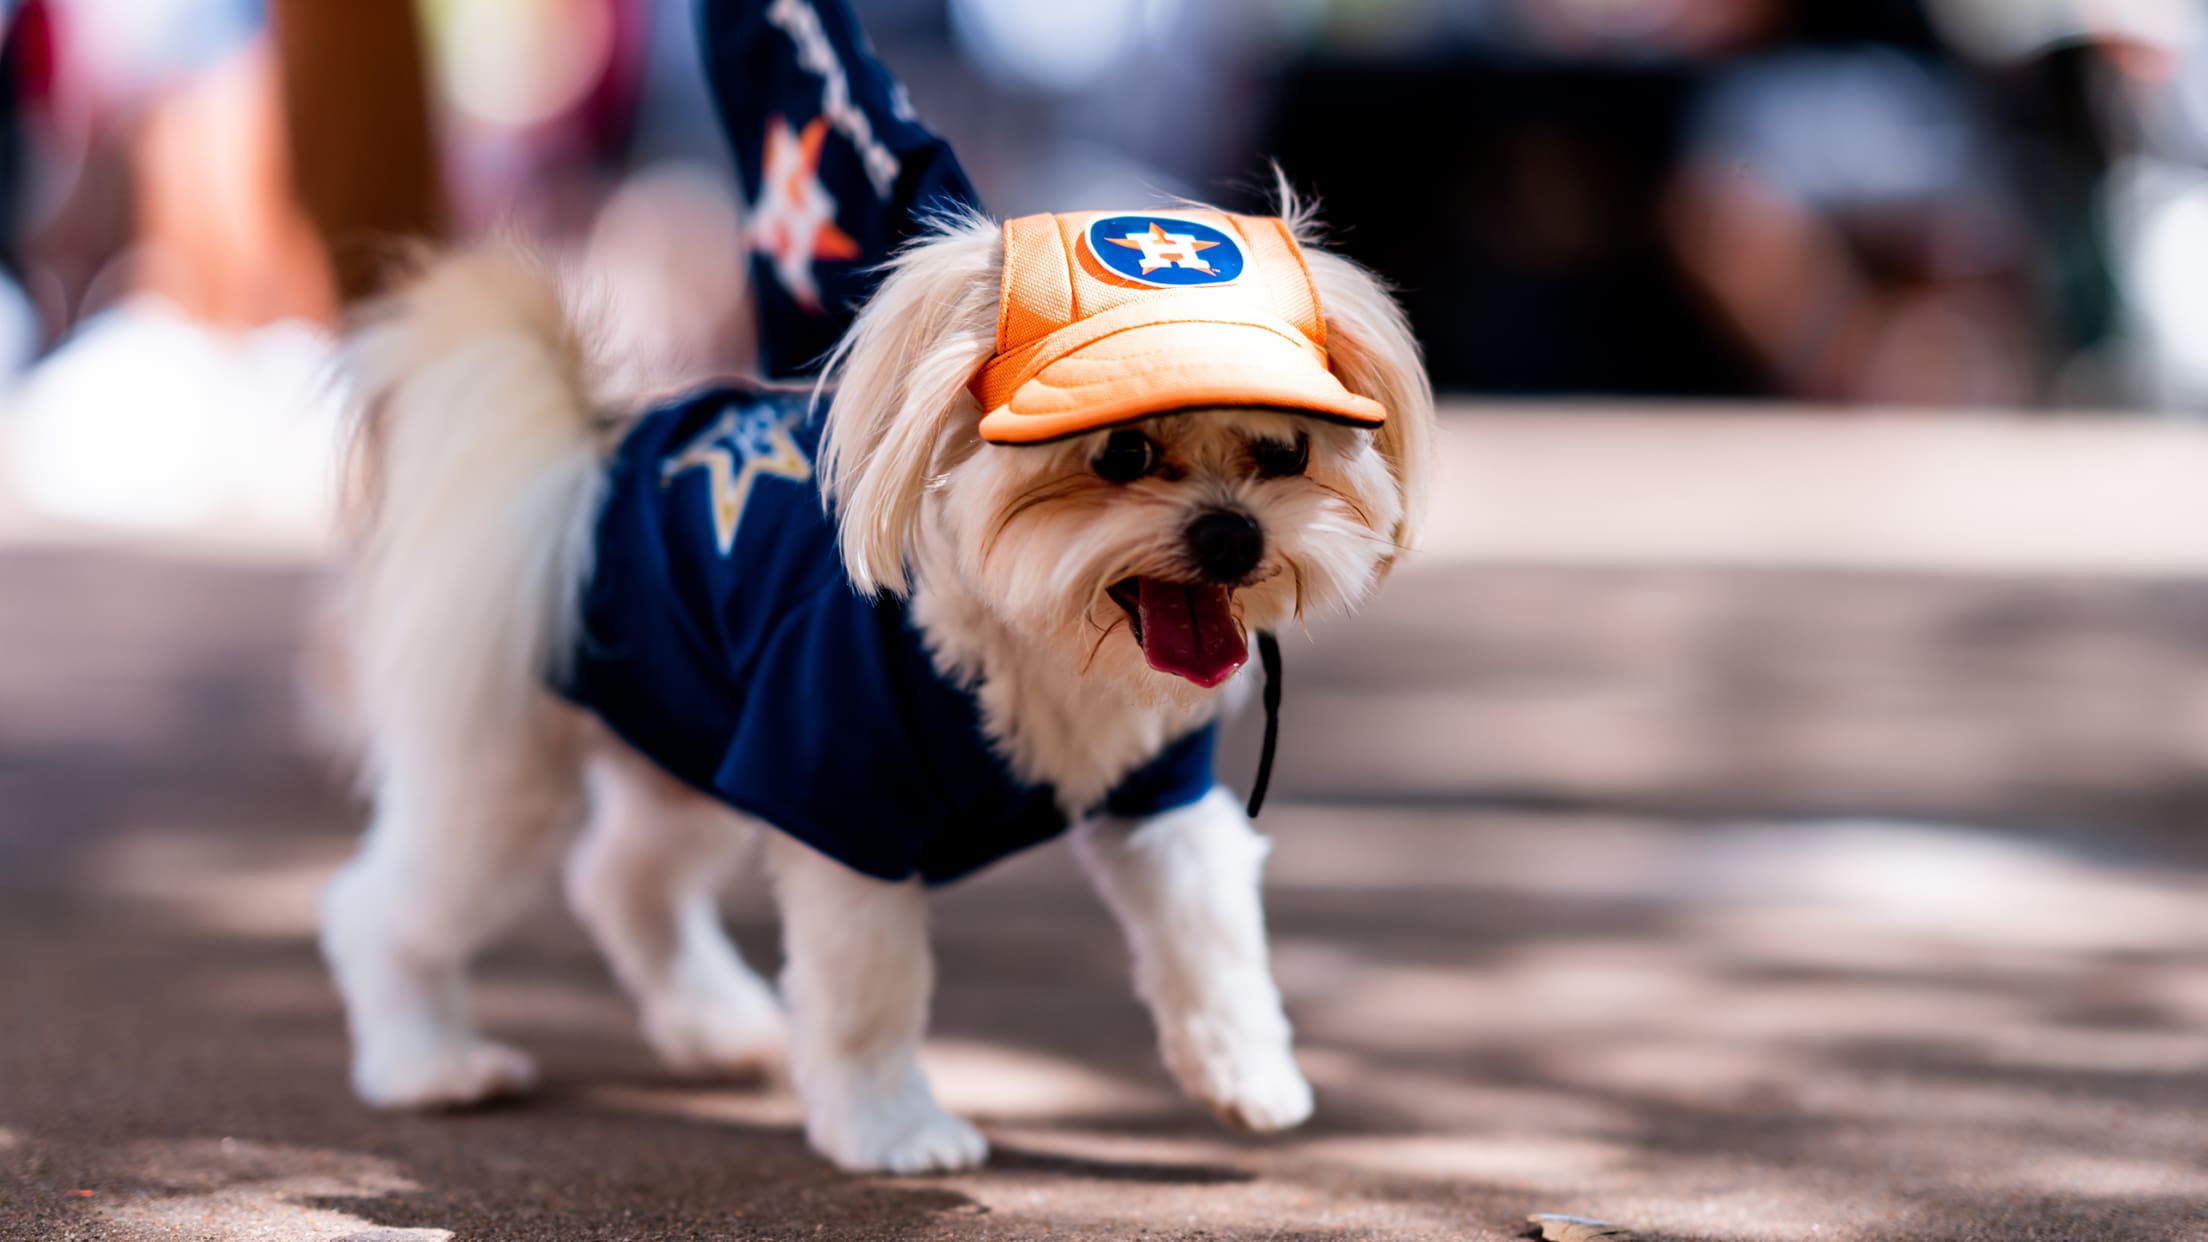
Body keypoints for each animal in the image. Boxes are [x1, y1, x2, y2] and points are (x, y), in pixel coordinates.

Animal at [322, 197, 1430, 1166]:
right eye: (1123, 450)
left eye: (1283, 449)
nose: (1233, 534)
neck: (1034, 649)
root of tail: (591, 460)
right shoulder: (839, 803)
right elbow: (869, 997)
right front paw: (893, 1130)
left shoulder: (1160, 798)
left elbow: (1214, 939)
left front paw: (1248, 1073)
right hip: (507, 776)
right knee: (384, 911)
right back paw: (427, 1063)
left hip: (692, 749)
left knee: (621, 880)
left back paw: (717, 1026)